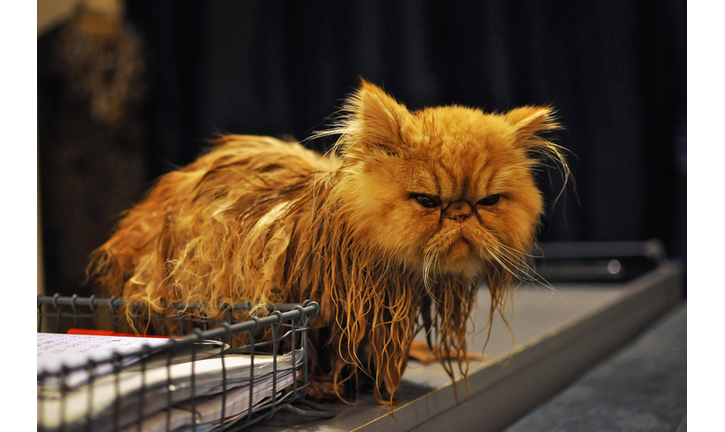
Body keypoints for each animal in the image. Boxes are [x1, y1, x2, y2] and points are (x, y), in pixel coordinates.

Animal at [89, 80, 564, 404]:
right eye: (428, 201)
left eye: (489, 202)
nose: (462, 214)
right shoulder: (293, 303)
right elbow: (303, 353)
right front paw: (322, 387)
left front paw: (367, 383)